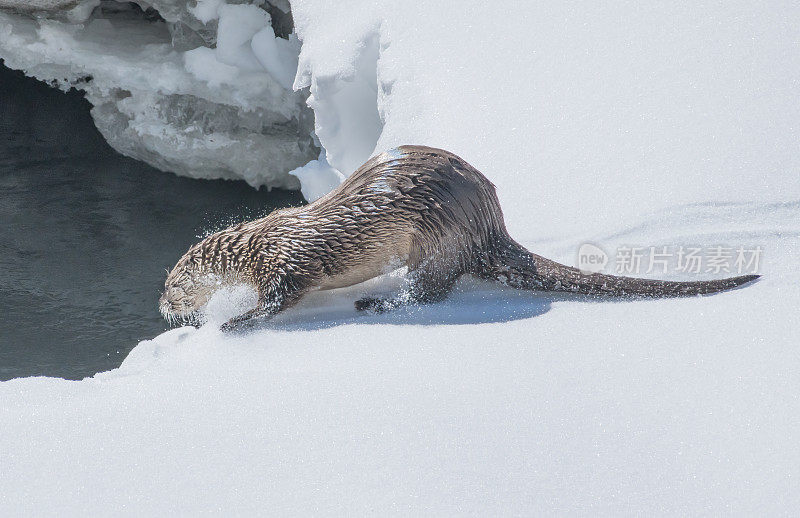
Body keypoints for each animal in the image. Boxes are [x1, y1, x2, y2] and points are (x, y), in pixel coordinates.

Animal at [159, 144, 760, 332]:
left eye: (170, 288)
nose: (162, 308)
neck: (258, 242)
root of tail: (490, 222)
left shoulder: (286, 263)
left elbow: (280, 299)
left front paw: (232, 321)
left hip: (438, 237)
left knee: (433, 290)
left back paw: (376, 303)